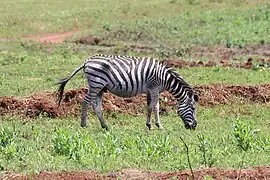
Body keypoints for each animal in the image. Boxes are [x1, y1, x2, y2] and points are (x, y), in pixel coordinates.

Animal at [56, 53, 198, 131]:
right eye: (193, 108)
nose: (194, 126)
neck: (165, 77)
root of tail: (87, 61)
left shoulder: (150, 90)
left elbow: (151, 107)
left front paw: (153, 125)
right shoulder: (154, 88)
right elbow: (154, 107)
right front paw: (155, 125)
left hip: (100, 88)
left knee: (96, 106)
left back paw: (105, 126)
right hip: (96, 84)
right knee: (86, 102)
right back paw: (84, 124)